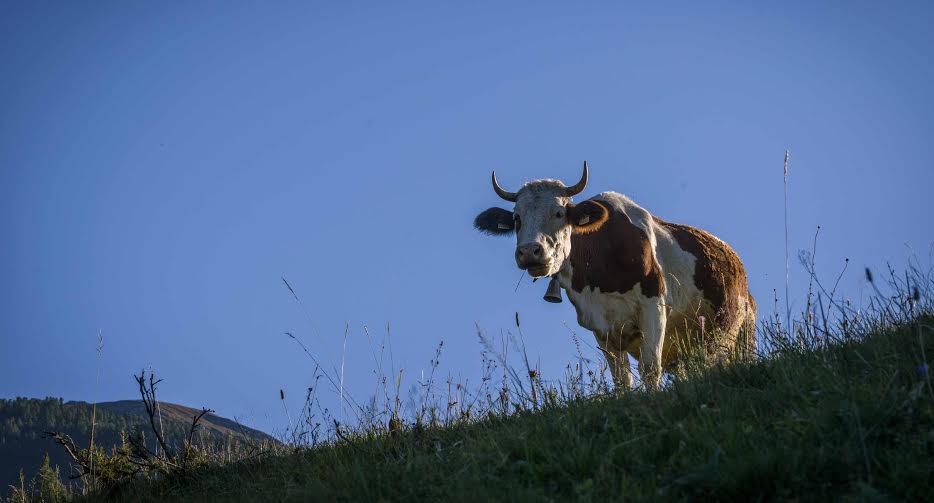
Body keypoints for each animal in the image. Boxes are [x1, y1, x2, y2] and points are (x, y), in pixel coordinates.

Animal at [476, 161, 760, 390]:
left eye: (559, 213)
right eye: (517, 218)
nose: (529, 252)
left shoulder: (653, 307)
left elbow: (650, 369)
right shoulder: (600, 325)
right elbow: (622, 378)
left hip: (740, 331)